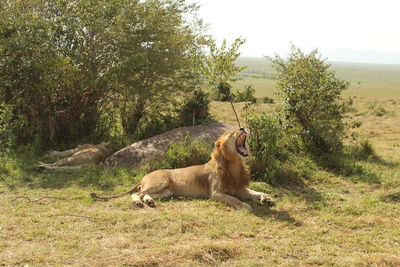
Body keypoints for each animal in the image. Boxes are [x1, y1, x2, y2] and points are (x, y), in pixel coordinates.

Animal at [90, 129, 276, 211]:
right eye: (232, 132)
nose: (243, 128)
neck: (235, 163)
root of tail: (144, 176)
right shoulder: (215, 193)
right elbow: (233, 199)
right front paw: (245, 206)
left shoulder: (239, 188)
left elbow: (255, 192)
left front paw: (267, 199)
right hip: (161, 181)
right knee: (137, 193)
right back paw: (138, 203)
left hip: (167, 191)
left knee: (146, 194)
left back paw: (150, 202)